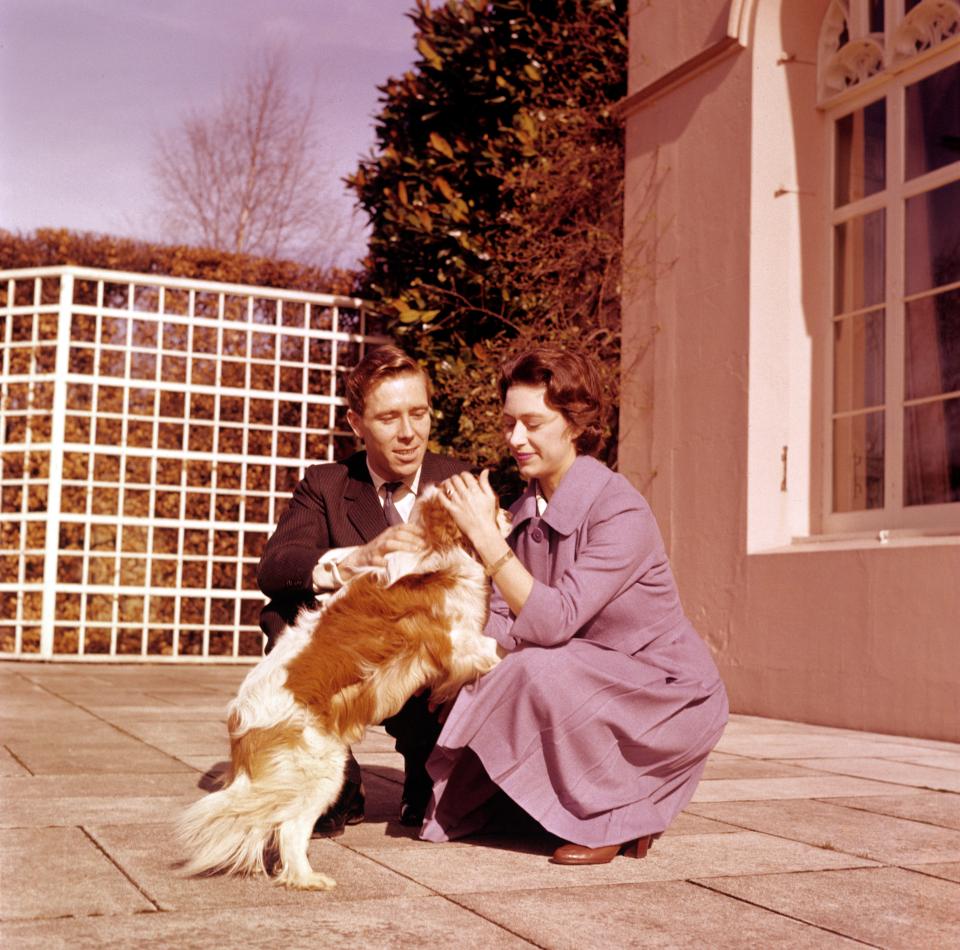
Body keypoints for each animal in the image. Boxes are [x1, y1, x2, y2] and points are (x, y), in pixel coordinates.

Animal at [176, 488, 502, 896]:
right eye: (491, 505)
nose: (508, 513)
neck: (432, 549)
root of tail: (241, 721)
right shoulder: (456, 643)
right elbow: (496, 649)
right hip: (321, 773)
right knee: (290, 828)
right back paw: (306, 878)